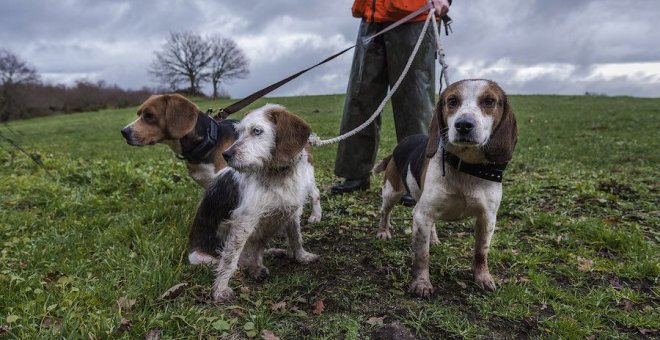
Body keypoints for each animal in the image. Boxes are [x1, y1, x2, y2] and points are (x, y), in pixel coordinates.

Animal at [188, 105, 320, 302]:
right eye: (239, 132)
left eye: (257, 131)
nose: (226, 155)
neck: (277, 174)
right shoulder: (244, 221)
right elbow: (229, 261)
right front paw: (220, 290)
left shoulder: (291, 212)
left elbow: (296, 238)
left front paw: (302, 257)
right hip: (202, 258)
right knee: (235, 262)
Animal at [374, 79, 520, 294]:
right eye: (452, 101)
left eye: (489, 101)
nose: (463, 125)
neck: (465, 167)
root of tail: (401, 144)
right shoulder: (422, 215)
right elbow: (422, 255)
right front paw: (421, 283)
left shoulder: (487, 218)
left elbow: (481, 253)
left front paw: (482, 277)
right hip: (392, 192)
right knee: (385, 212)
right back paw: (384, 231)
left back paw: (433, 238)